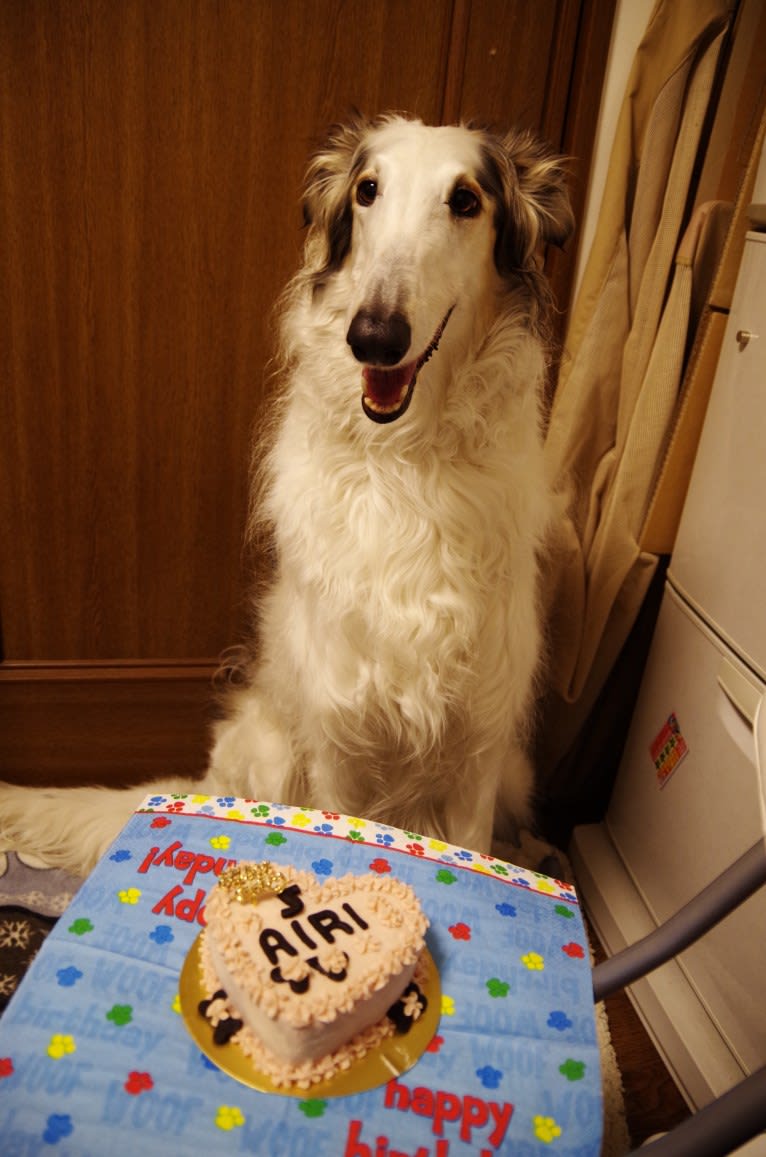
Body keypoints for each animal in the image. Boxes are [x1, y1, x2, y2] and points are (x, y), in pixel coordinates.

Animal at [0, 115, 573, 874]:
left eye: (466, 200)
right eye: (367, 190)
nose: (374, 336)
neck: (407, 463)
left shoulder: (478, 746)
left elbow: (476, 849)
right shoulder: (338, 737)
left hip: (515, 769)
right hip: (270, 752)